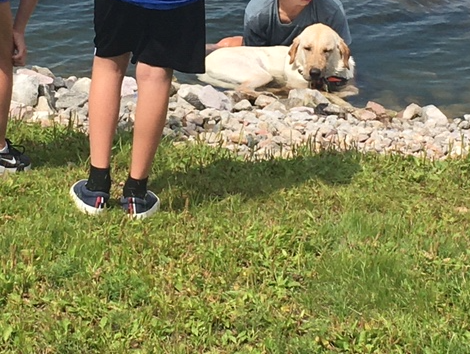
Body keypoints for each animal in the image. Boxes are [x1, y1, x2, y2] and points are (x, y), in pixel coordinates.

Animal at [197, 23, 356, 98]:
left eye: (327, 50)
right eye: (307, 48)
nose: (314, 72)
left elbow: (350, 91)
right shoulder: (298, 85)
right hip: (261, 74)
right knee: (242, 88)